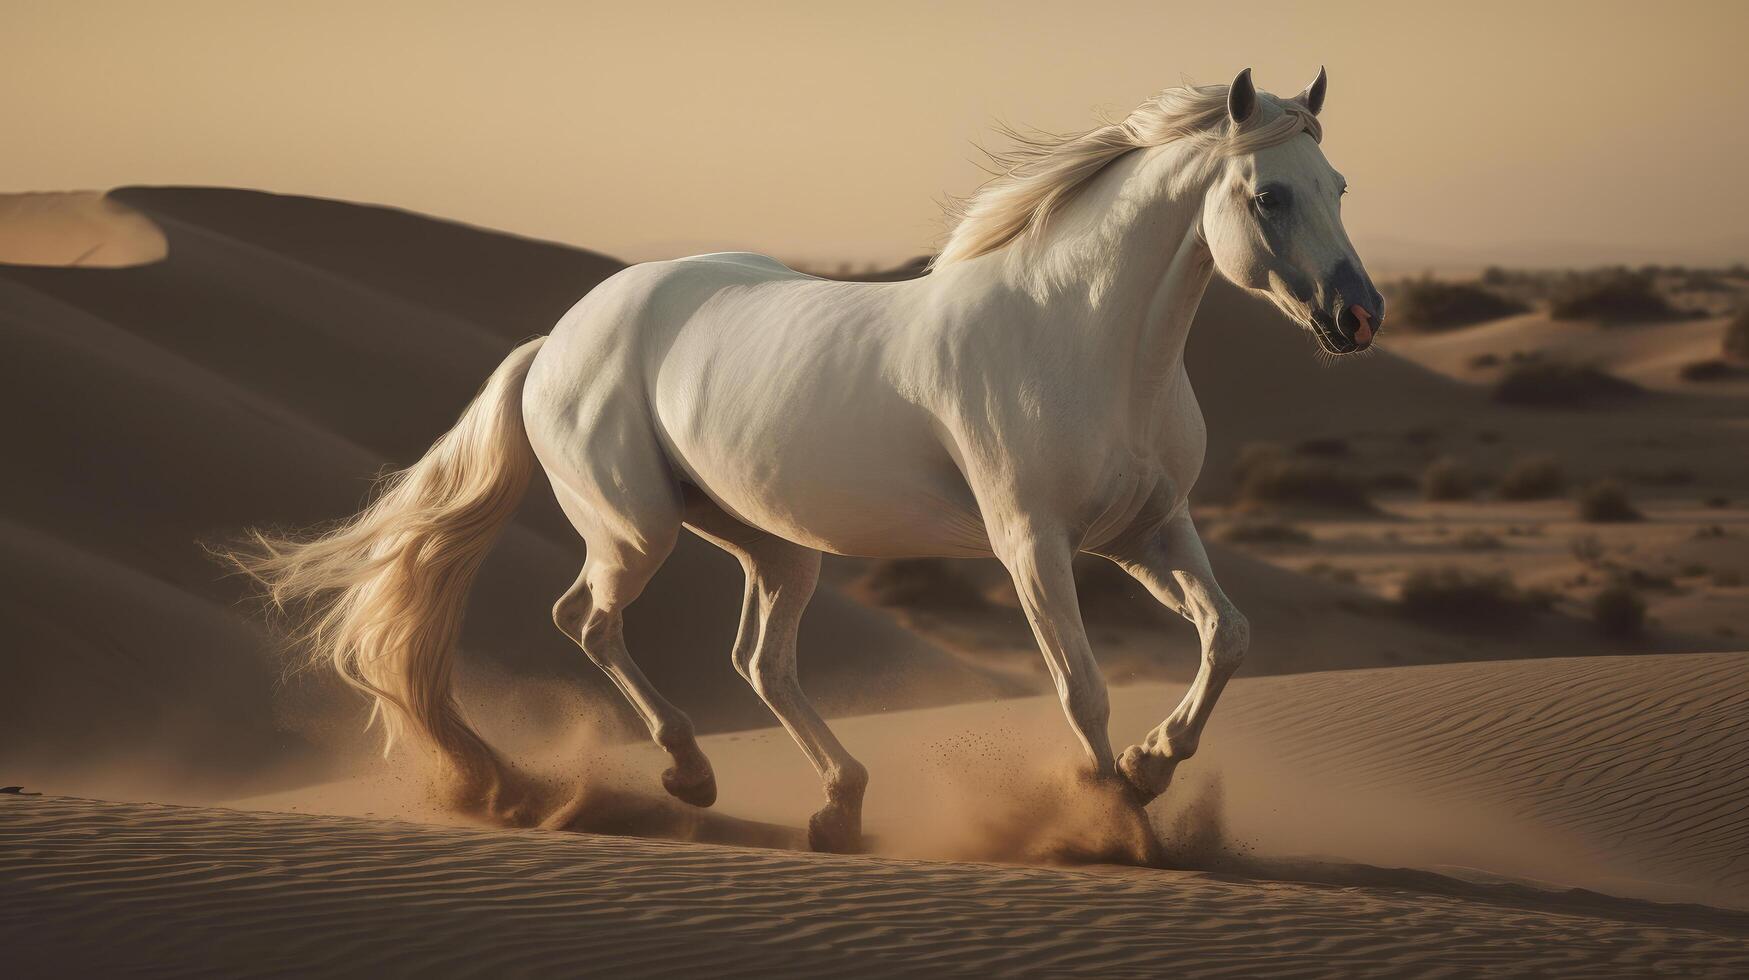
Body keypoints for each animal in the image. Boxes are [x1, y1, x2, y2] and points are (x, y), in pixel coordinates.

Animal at [232, 69, 1378, 850]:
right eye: (1270, 196)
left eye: (1339, 184)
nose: (1359, 317)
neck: (1084, 339)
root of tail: (555, 340)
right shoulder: (1032, 545)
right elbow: (1080, 686)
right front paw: (1118, 820)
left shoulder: (1146, 533)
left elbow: (1227, 635)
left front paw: (1151, 764)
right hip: (636, 529)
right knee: (587, 619)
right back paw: (689, 776)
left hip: (774, 547)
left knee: (760, 661)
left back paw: (838, 804)